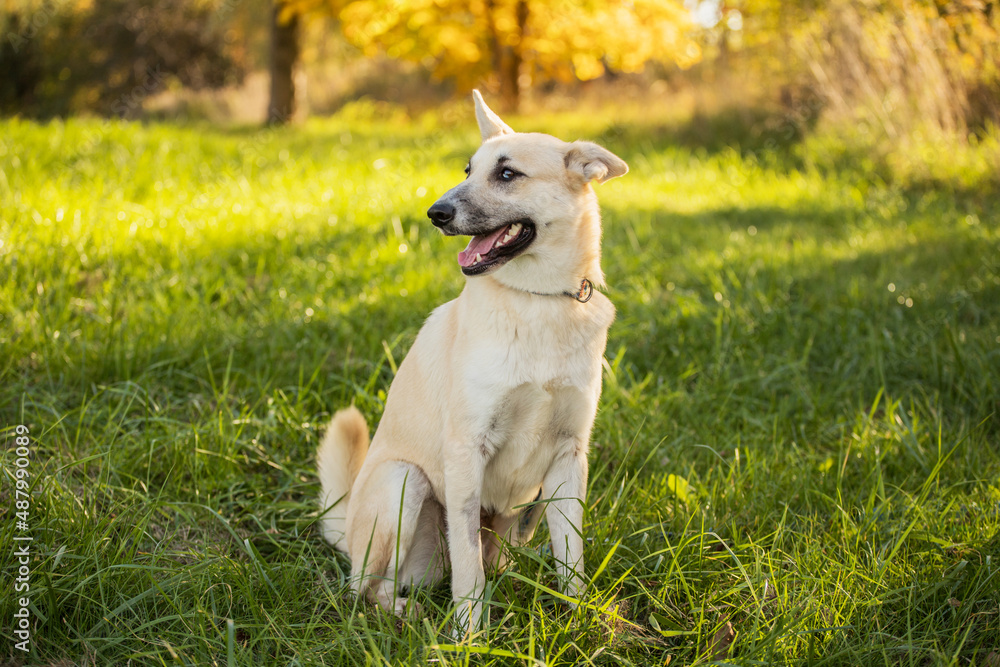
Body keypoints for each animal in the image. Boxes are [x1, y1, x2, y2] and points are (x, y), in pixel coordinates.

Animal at [316, 90, 628, 636]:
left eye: (506, 173)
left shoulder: (569, 457)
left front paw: (579, 620)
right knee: (363, 591)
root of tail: (348, 529)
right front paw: (470, 634)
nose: (434, 212)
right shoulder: (466, 450)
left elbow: (572, 555)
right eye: (467, 169)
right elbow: (467, 566)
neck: (539, 301)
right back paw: (406, 612)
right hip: (402, 483)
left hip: (514, 518)